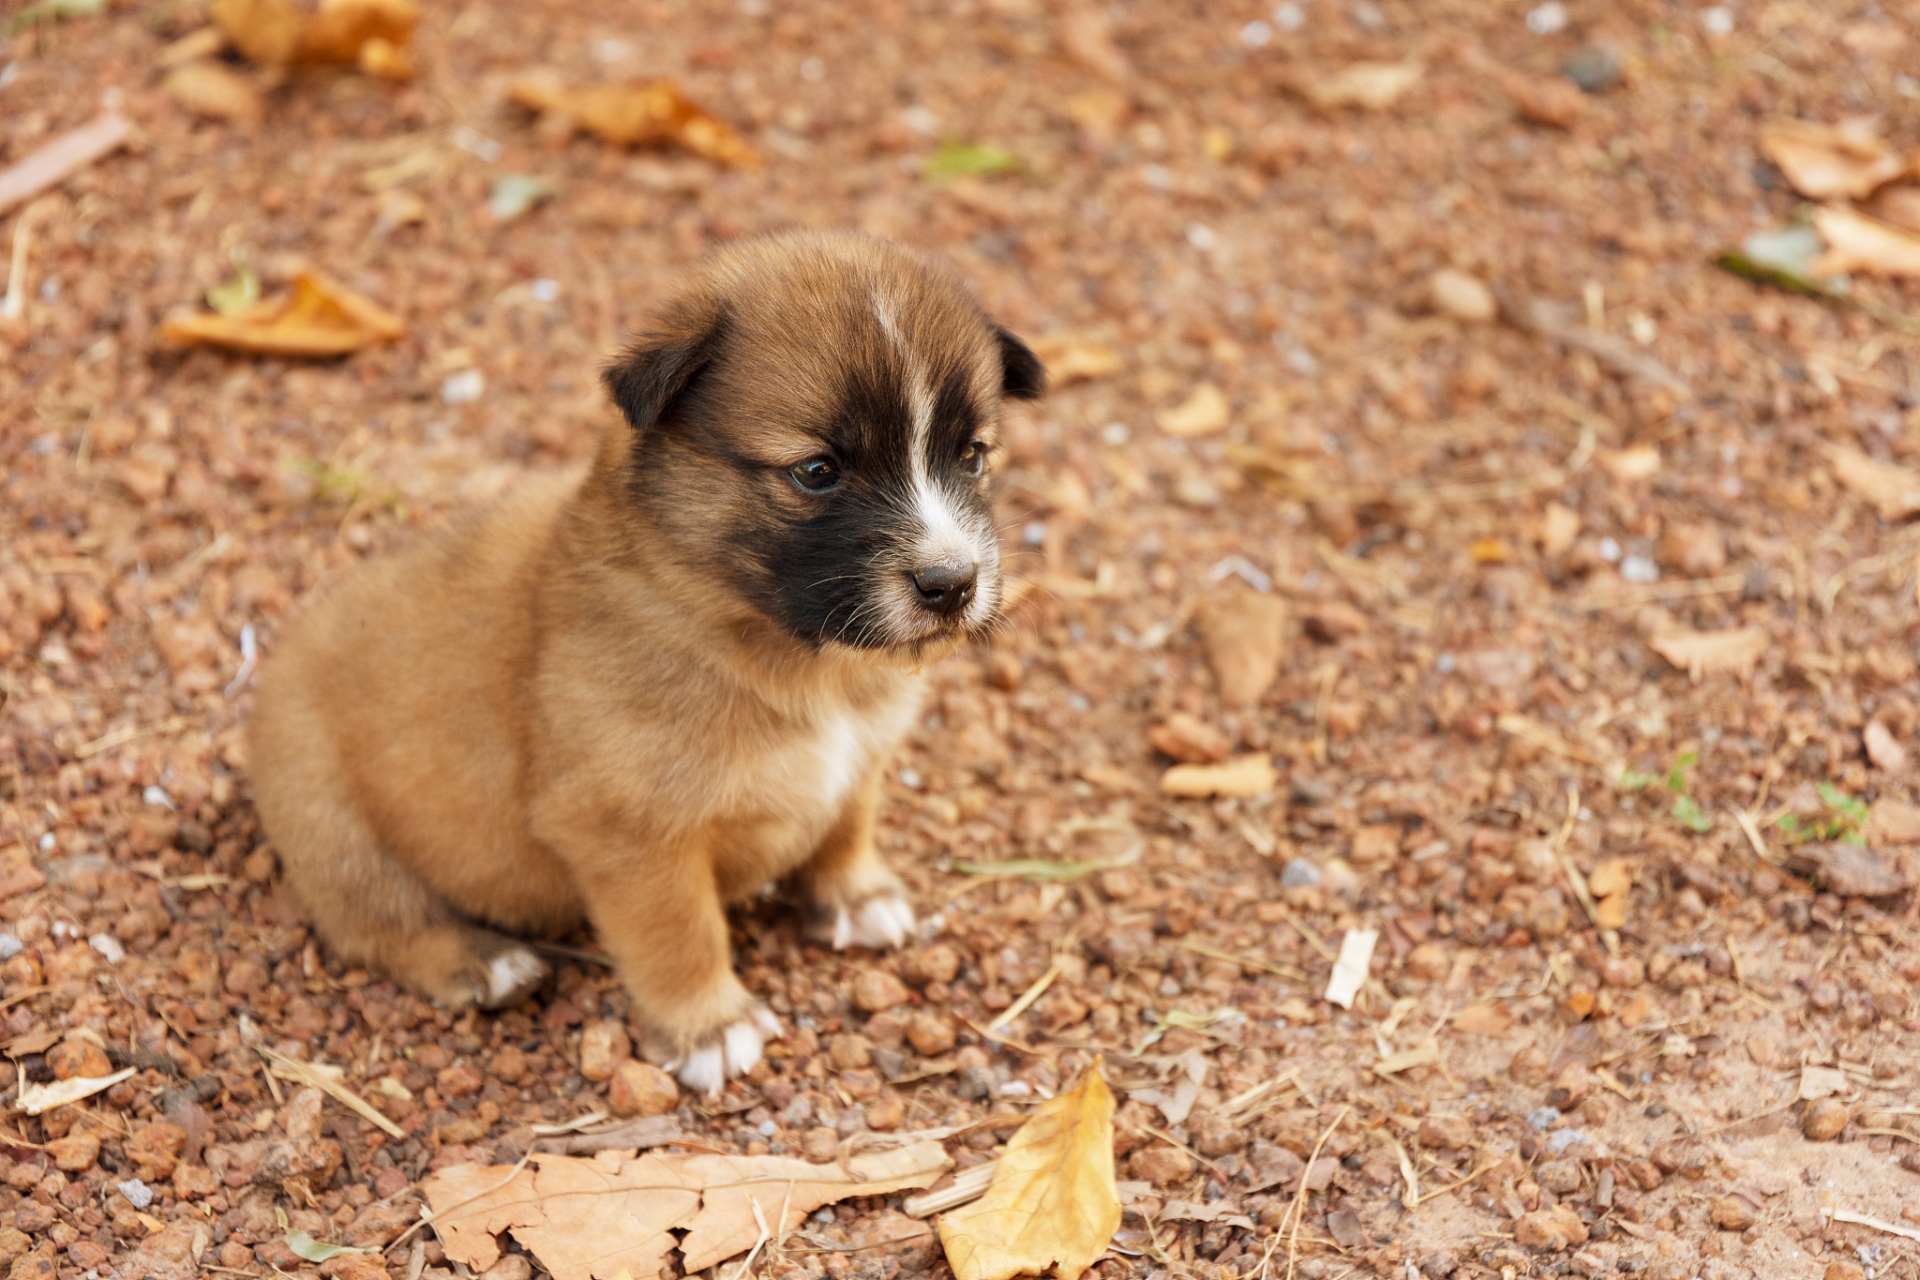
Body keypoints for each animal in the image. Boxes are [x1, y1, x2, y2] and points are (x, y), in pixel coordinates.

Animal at [253, 230, 1044, 1090]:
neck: (789, 656)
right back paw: (484, 962)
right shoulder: (631, 835)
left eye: (972, 456)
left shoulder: (861, 758)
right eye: (816, 471)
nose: (953, 584)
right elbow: (680, 932)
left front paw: (855, 895)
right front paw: (710, 1025)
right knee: (380, 924)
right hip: (333, 827)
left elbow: (845, 824)